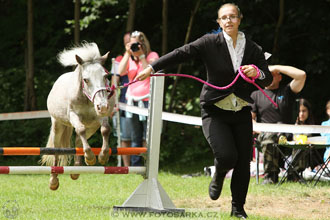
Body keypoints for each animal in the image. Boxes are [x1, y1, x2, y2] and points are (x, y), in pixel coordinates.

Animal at [40, 42, 115, 190]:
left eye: (105, 76)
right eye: (86, 80)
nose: (103, 106)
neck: (85, 98)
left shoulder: (99, 116)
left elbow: (105, 129)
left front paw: (102, 156)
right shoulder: (73, 116)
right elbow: (80, 129)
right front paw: (91, 157)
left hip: (91, 127)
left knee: (79, 141)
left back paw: (76, 169)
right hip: (58, 125)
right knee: (57, 149)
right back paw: (54, 180)